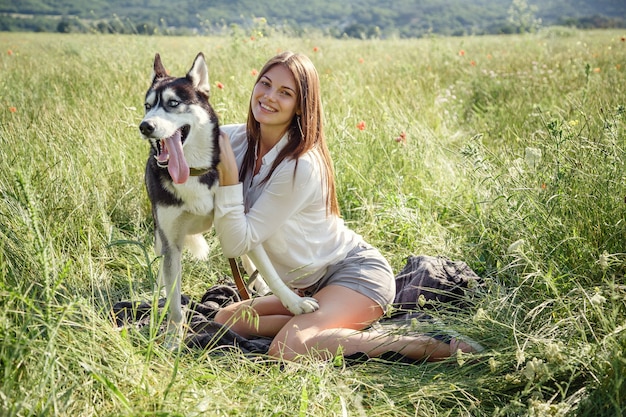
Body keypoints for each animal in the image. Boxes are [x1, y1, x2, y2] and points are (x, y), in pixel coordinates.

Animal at [140, 53, 320, 346]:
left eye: (173, 103)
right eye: (147, 106)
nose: (145, 126)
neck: (194, 171)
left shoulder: (240, 219)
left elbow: (269, 269)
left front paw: (294, 302)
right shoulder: (170, 240)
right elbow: (175, 300)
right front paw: (173, 338)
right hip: (161, 234)